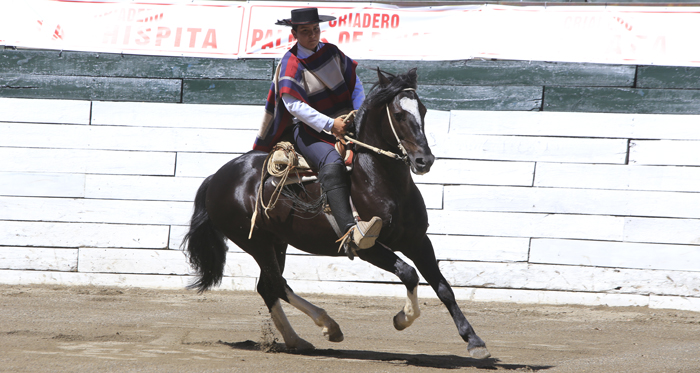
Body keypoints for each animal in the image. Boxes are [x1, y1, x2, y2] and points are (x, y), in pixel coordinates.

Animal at [183, 67, 490, 358]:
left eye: (423, 110)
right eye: (399, 115)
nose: (424, 160)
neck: (379, 179)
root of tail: (217, 176)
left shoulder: (417, 240)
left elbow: (443, 287)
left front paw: (474, 341)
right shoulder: (365, 245)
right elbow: (409, 273)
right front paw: (402, 318)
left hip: (276, 242)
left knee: (268, 286)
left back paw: (297, 339)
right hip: (256, 242)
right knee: (276, 284)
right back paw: (326, 326)